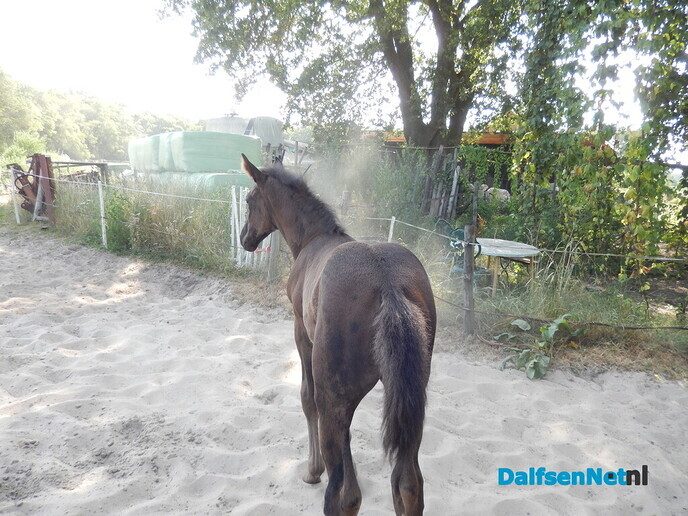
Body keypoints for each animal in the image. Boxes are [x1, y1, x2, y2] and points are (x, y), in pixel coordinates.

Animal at [239, 155, 436, 515]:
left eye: (249, 201)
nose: (245, 239)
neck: (314, 239)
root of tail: (387, 284)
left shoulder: (301, 333)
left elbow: (305, 398)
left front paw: (311, 471)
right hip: (412, 403)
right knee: (408, 483)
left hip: (335, 402)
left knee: (345, 494)